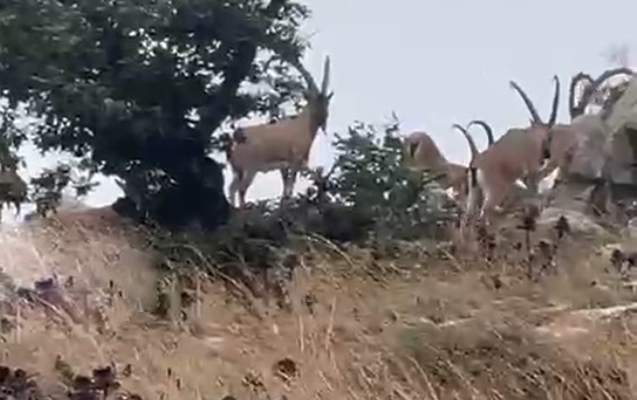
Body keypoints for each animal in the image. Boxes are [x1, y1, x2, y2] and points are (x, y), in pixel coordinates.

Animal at [224, 56, 332, 209]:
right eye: (314, 102)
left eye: (326, 102)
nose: (323, 120)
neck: (301, 126)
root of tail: (234, 141)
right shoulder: (295, 160)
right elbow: (291, 184)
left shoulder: (291, 164)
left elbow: (287, 186)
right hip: (250, 169)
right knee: (241, 189)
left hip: (237, 171)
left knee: (232, 188)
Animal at [460, 76, 560, 233]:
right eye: (550, 137)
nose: (547, 155)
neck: (531, 138)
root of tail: (477, 164)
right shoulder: (532, 172)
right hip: (495, 191)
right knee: (484, 214)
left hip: (474, 192)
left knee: (466, 220)